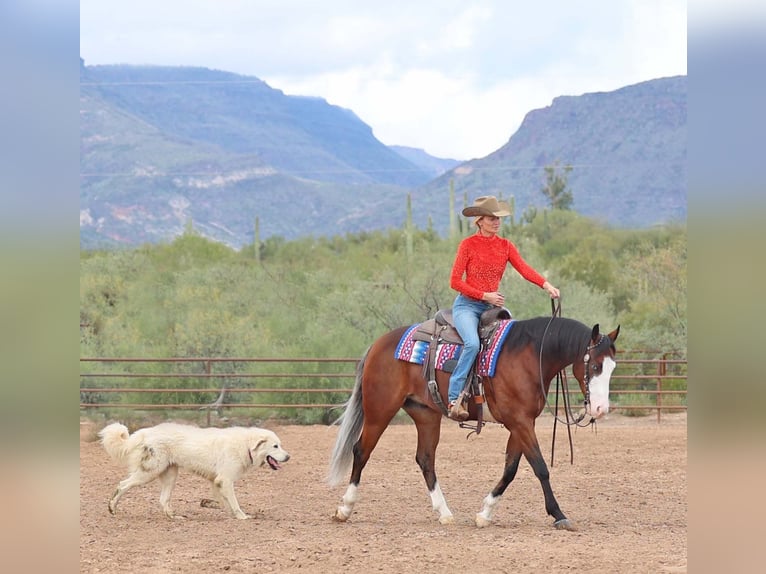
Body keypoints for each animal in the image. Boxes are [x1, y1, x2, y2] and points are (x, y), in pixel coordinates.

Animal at [327, 315, 620, 529]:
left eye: (613, 367)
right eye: (595, 366)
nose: (601, 408)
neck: (528, 355)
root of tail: (378, 344)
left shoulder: (521, 423)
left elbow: (511, 469)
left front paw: (485, 513)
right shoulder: (520, 422)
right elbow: (540, 467)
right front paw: (559, 514)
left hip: (426, 414)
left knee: (425, 459)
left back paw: (444, 513)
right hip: (380, 410)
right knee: (361, 451)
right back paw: (345, 508)